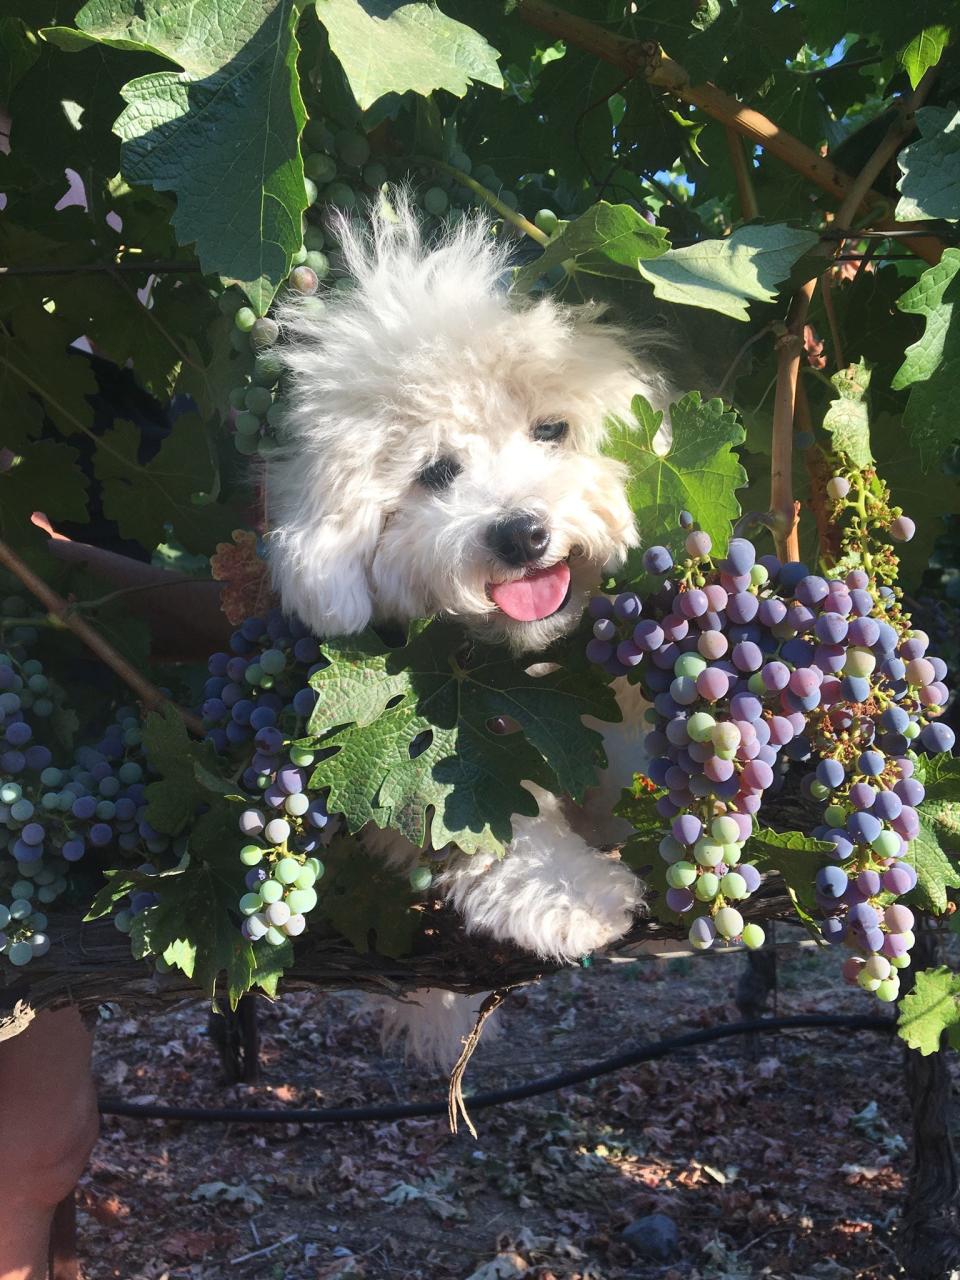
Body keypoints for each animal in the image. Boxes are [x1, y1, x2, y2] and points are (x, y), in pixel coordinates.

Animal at [267, 197, 665, 1059]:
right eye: (436, 472)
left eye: (551, 430)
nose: (521, 534)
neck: (523, 666)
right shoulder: (416, 788)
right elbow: (493, 826)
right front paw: (573, 897)